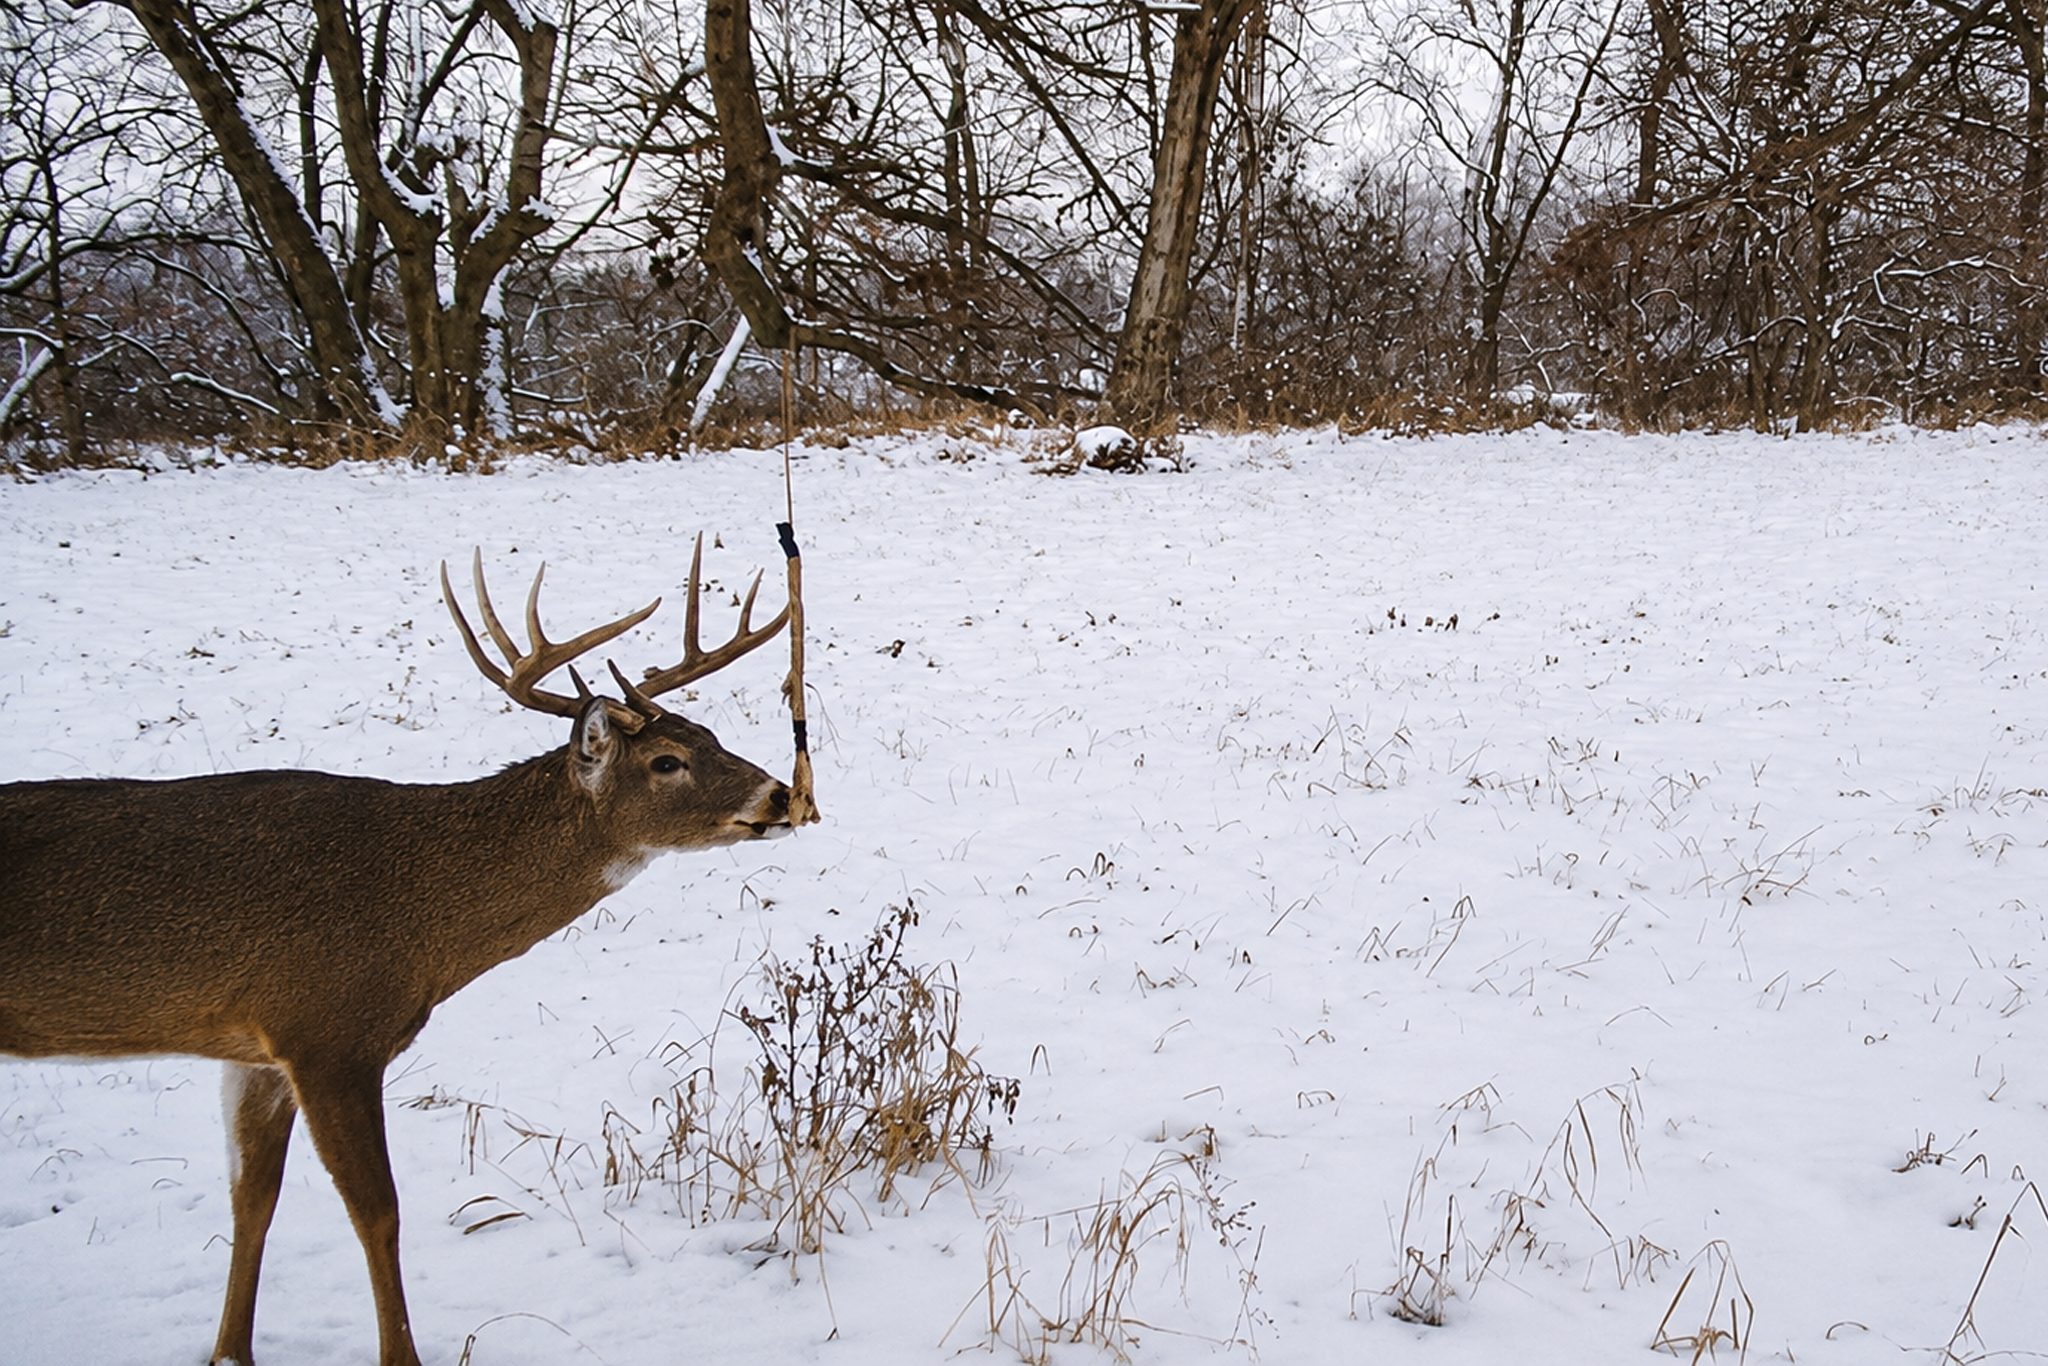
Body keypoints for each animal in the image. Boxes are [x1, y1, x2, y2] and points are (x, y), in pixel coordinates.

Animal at [0, 539, 805, 1366]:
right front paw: (402, 1354)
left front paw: (231, 1351)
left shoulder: (255, 1047)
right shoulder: (329, 1031)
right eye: (668, 761)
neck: (417, 930)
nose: (782, 795)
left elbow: (253, 1199)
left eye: (710, 736)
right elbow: (377, 1211)